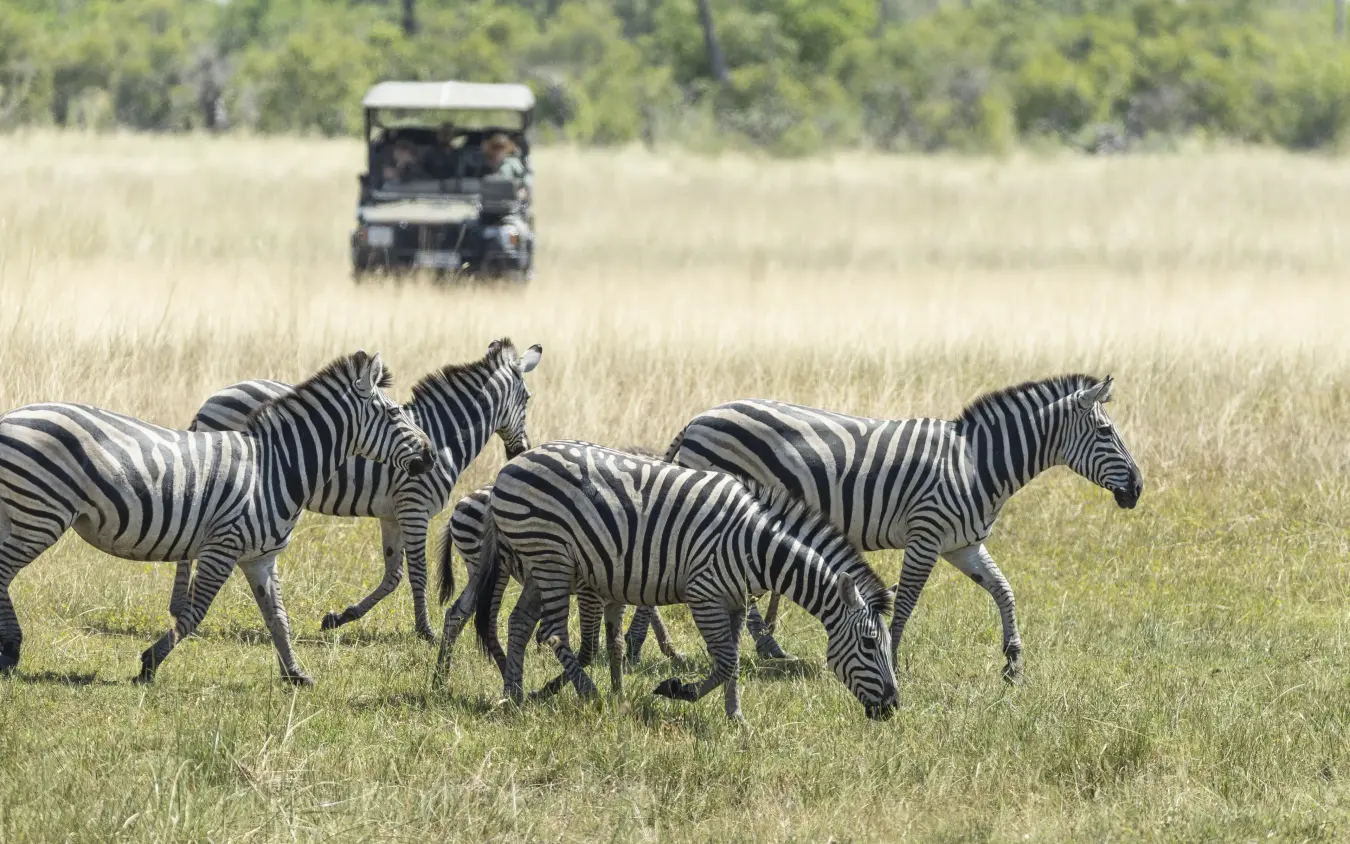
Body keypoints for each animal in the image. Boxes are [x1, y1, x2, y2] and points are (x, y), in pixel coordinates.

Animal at [0, 350, 434, 684]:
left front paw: (295, 674)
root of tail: (10, 417)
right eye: (395, 414)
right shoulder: (223, 545)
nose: (431, 458)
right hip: (39, 514)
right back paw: (11, 650)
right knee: (3, 573)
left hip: (24, 514)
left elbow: (278, 617)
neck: (277, 467)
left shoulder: (261, 557)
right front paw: (149, 664)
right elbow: (195, 612)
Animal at [183, 338, 542, 642]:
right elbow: (418, 572)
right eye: (527, 399)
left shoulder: (393, 515)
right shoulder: (414, 506)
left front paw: (341, 617)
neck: (444, 438)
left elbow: (393, 575)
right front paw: (425, 631)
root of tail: (212, 399)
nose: (521, 450)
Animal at [431, 447, 689, 690]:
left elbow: (622, 631)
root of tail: (461, 503)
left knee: (457, 613)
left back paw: (440, 680)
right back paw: (504, 675)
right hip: (496, 568)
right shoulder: (594, 586)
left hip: (478, 570)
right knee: (487, 621)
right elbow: (592, 644)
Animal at [471, 441, 899, 721]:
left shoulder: (736, 601)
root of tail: (507, 469)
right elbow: (726, 663)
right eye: (869, 643)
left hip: (540, 562)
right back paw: (589, 694)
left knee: (520, 622)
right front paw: (678, 690)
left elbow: (733, 662)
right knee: (554, 632)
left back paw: (514, 695)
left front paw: (735, 717)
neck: (754, 545)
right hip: (551, 557)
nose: (893, 706)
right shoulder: (704, 593)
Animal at [624, 374, 1143, 683]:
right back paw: (652, 647)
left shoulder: (963, 544)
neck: (975, 464)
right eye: (1105, 432)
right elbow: (908, 601)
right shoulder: (926, 534)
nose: (1137, 488)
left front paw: (1013, 661)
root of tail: (698, 419)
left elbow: (1004, 590)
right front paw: (890, 657)